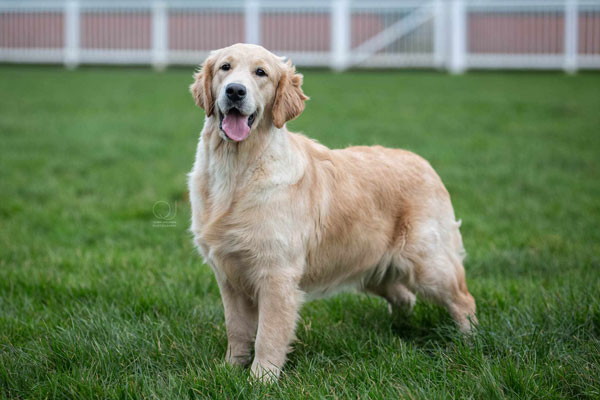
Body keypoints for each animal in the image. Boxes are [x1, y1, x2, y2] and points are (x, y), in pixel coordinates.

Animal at [190, 43, 476, 382]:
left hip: (427, 264)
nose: (235, 91)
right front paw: (228, 370)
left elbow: (268, 335)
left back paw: (470, 342)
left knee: (463, 299)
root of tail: (424, 162)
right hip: (373, 266)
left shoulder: (276, 274)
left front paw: (261, 380)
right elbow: (236, 329)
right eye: (225, 67)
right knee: (405, 297)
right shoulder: (228, 275)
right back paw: (397, 330)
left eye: (261, 72)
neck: (236, 171)